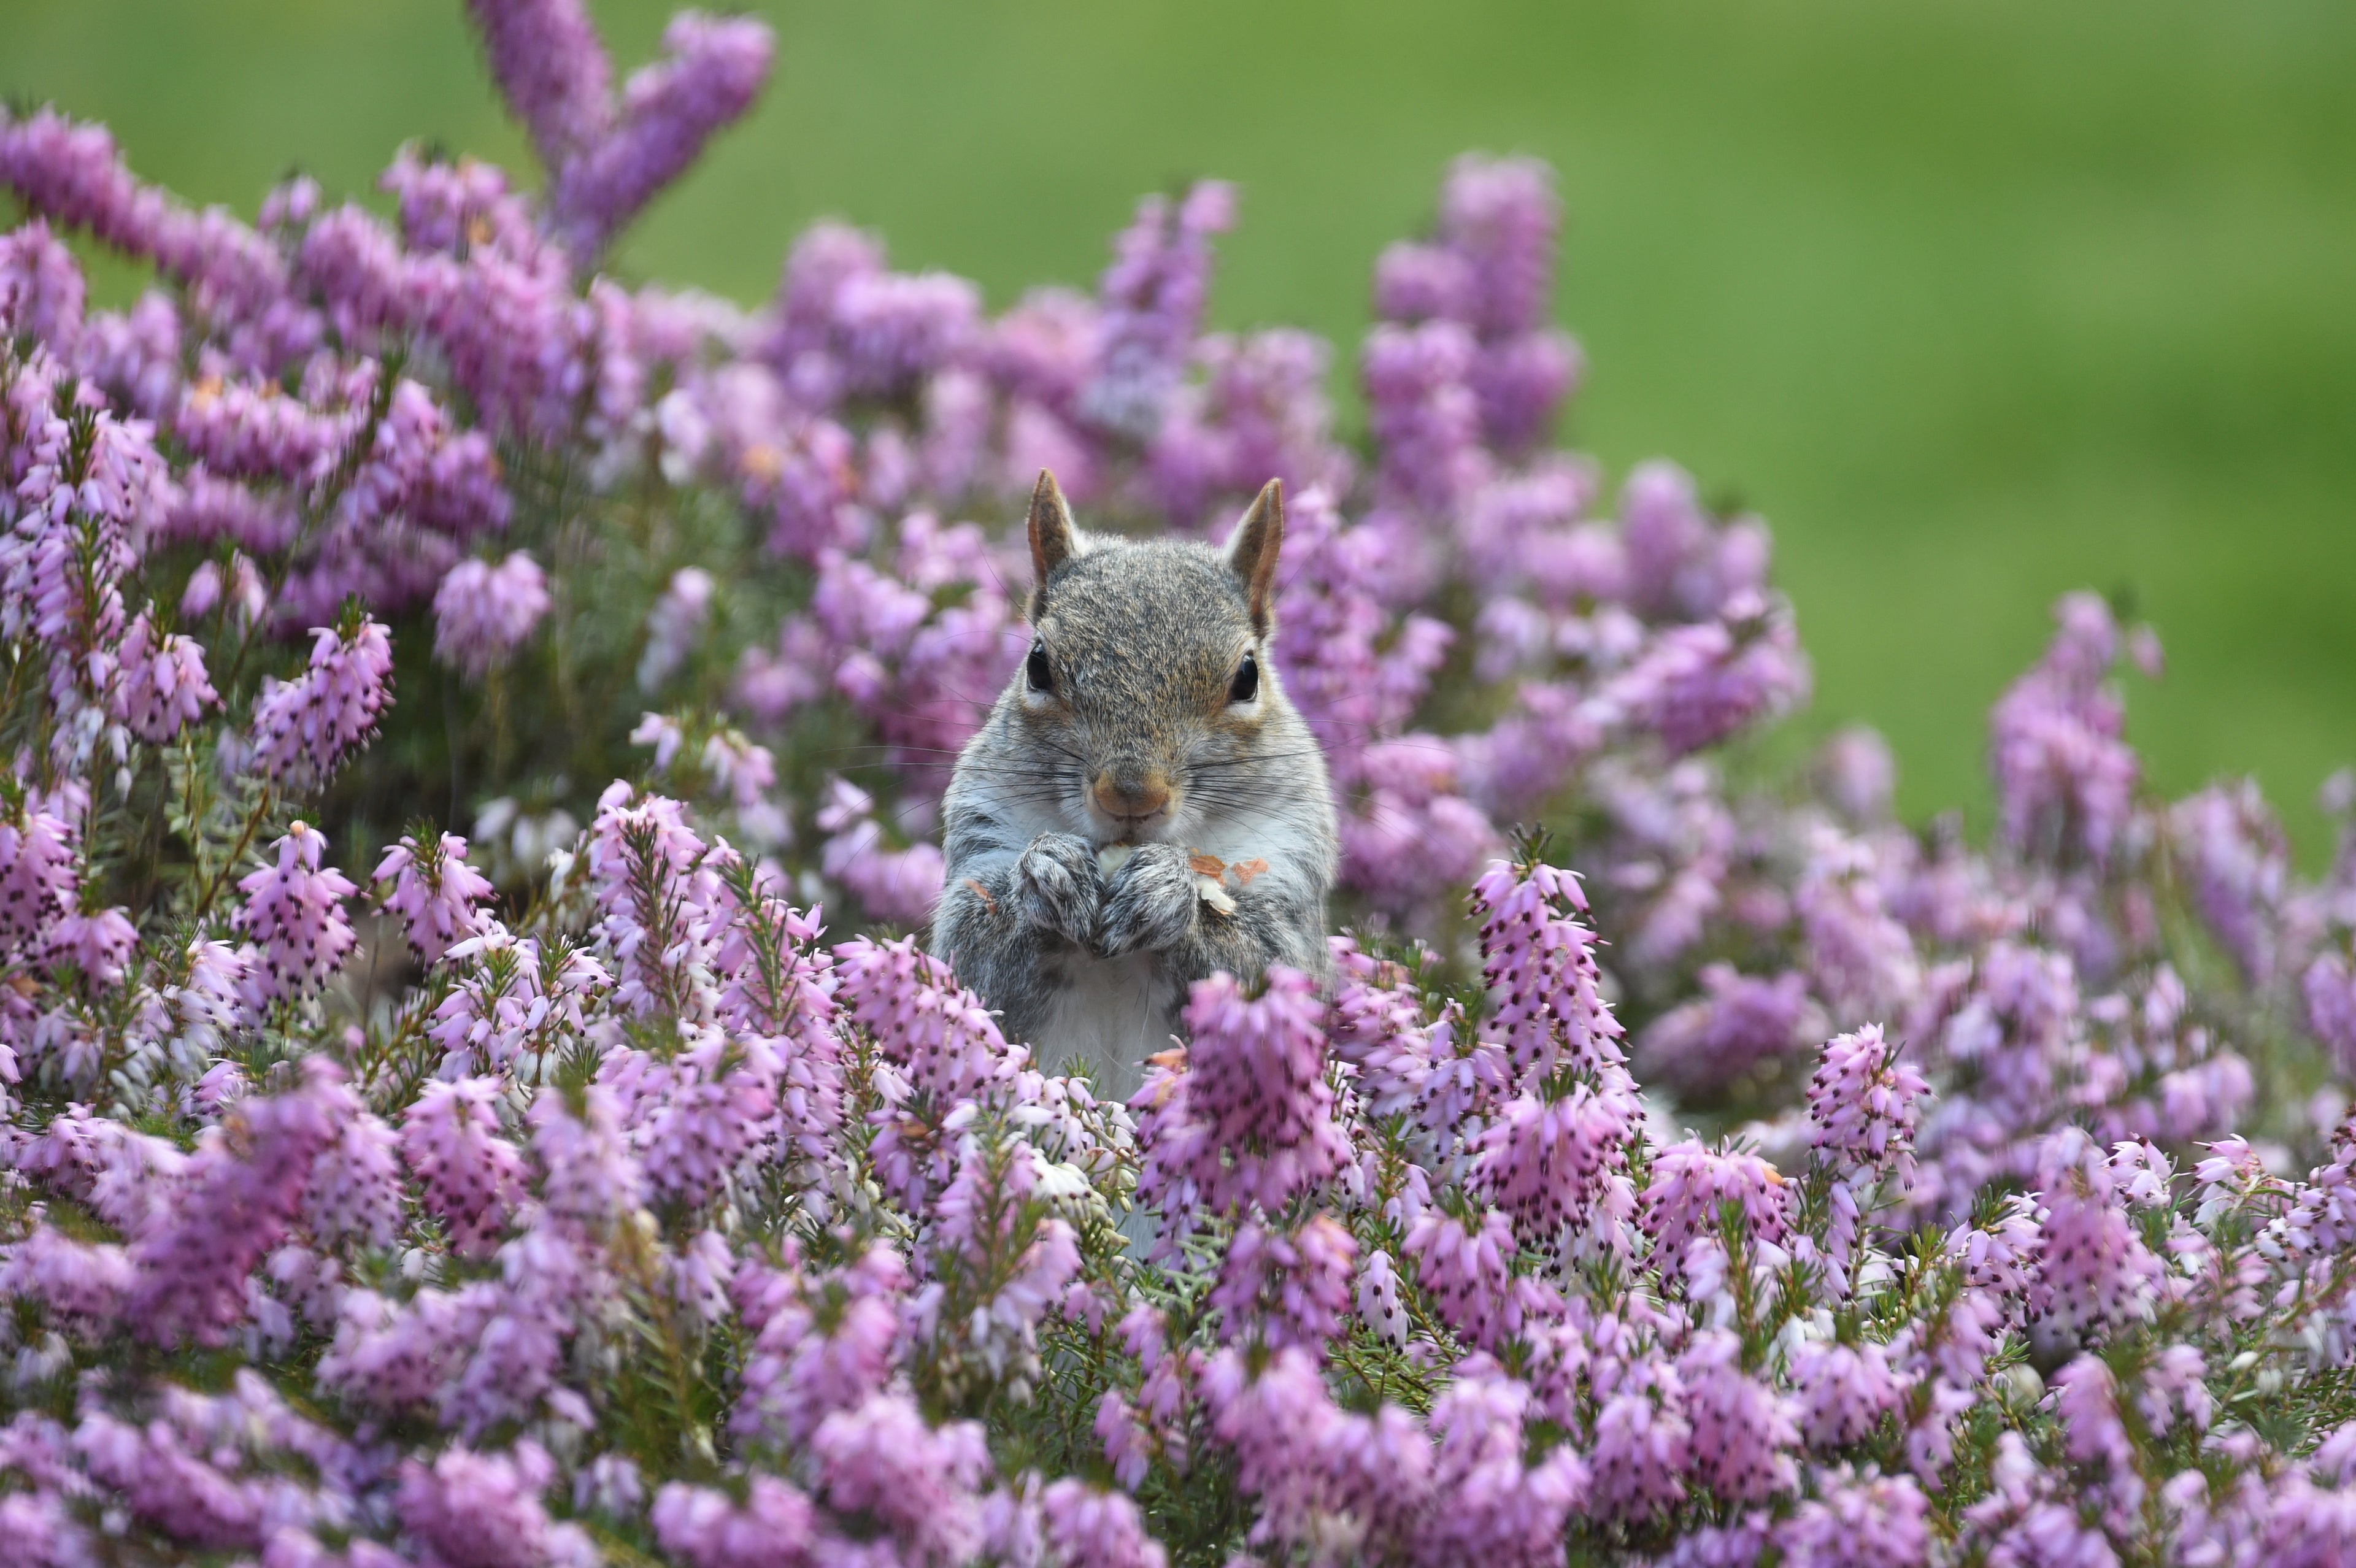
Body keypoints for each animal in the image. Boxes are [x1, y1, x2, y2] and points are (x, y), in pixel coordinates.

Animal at [929, 470, 1338, 1098]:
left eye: (1248, 677)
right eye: (1038, 665)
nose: (1131, 794)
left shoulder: (1289, 859)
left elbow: (1267, 962)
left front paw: (1169, 894)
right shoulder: (983, 834)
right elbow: (973, 958)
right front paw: (1046, 875)